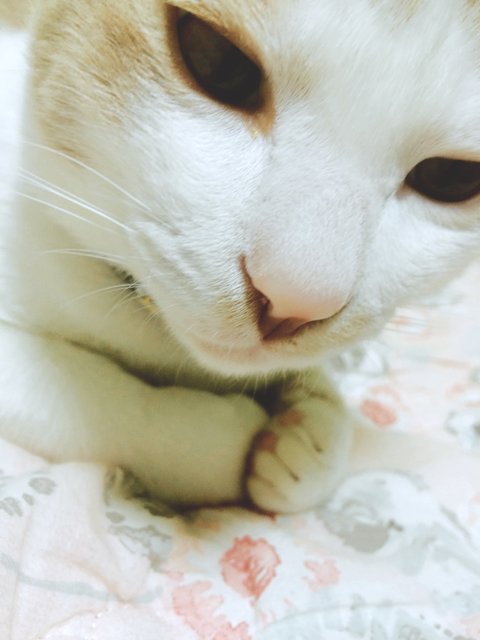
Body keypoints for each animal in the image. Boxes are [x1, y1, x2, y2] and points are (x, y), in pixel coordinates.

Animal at [0, 0, 479, 513]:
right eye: (217, 59)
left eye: (451, 177)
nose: (293, 303)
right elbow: (85, 397)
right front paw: (212, 438)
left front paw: (312, 427)